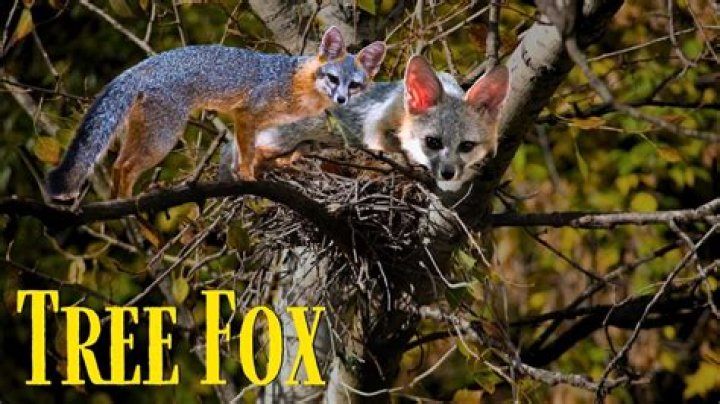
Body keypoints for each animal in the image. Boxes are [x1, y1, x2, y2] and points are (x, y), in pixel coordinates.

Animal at [45, 27, 386, 201]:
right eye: (333, 79)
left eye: (354, 85)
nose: (341, 99)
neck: (296, 83)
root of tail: (144, 64)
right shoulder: (247, 114)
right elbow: (246, 151)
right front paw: (246, 176)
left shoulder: (258, 124)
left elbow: (246, 150)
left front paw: (246, 172)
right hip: (162, 139)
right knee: (125, 166)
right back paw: (128, 202)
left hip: (149, 133)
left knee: (118, 164)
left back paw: (121, 202)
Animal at [242, 55, 509, 192]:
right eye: (432, 142)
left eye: (467, 146)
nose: (447, 172)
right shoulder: (375, 126)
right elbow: (395, 148)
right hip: (282, 140)